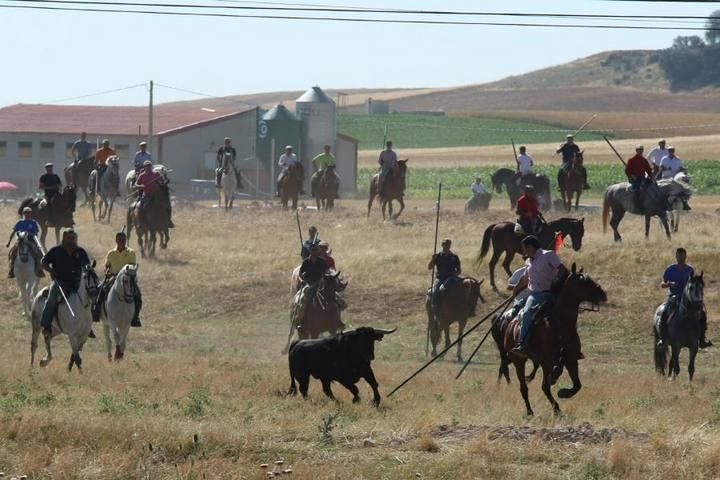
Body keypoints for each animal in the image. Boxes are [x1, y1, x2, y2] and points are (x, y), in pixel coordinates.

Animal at [496, 262, 608, 416]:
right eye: (583, 282)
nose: (603, 294)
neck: (561, 324)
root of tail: (510, 324)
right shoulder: (546, 363)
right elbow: (546, 386)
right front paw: (557, 408)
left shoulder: (572, 360)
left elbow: (577, 385)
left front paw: (564, 392)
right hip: (518, 360)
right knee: (524, 388)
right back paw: (530, 412)